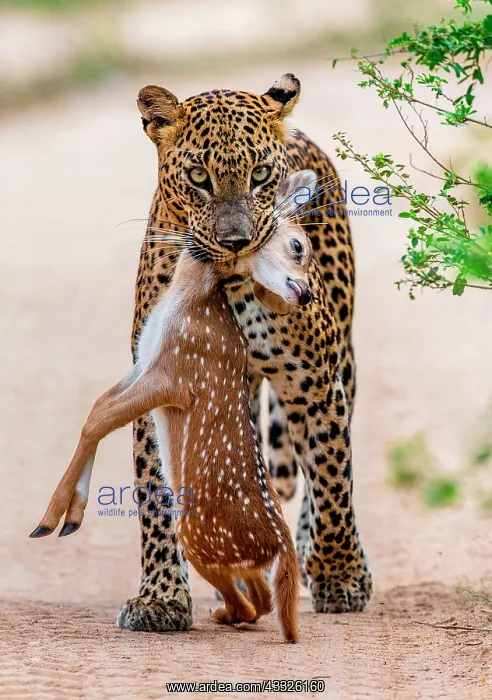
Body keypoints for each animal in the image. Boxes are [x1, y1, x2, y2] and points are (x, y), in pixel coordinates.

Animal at [116, 74, 373, 632]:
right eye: (198, 176)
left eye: (259, 175)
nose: (236, 241)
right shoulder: (158, 384)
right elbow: (157, 492)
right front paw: (160, 598)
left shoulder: (314, 382)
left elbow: (333, 480)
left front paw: (342, 576)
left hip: (341, 360)